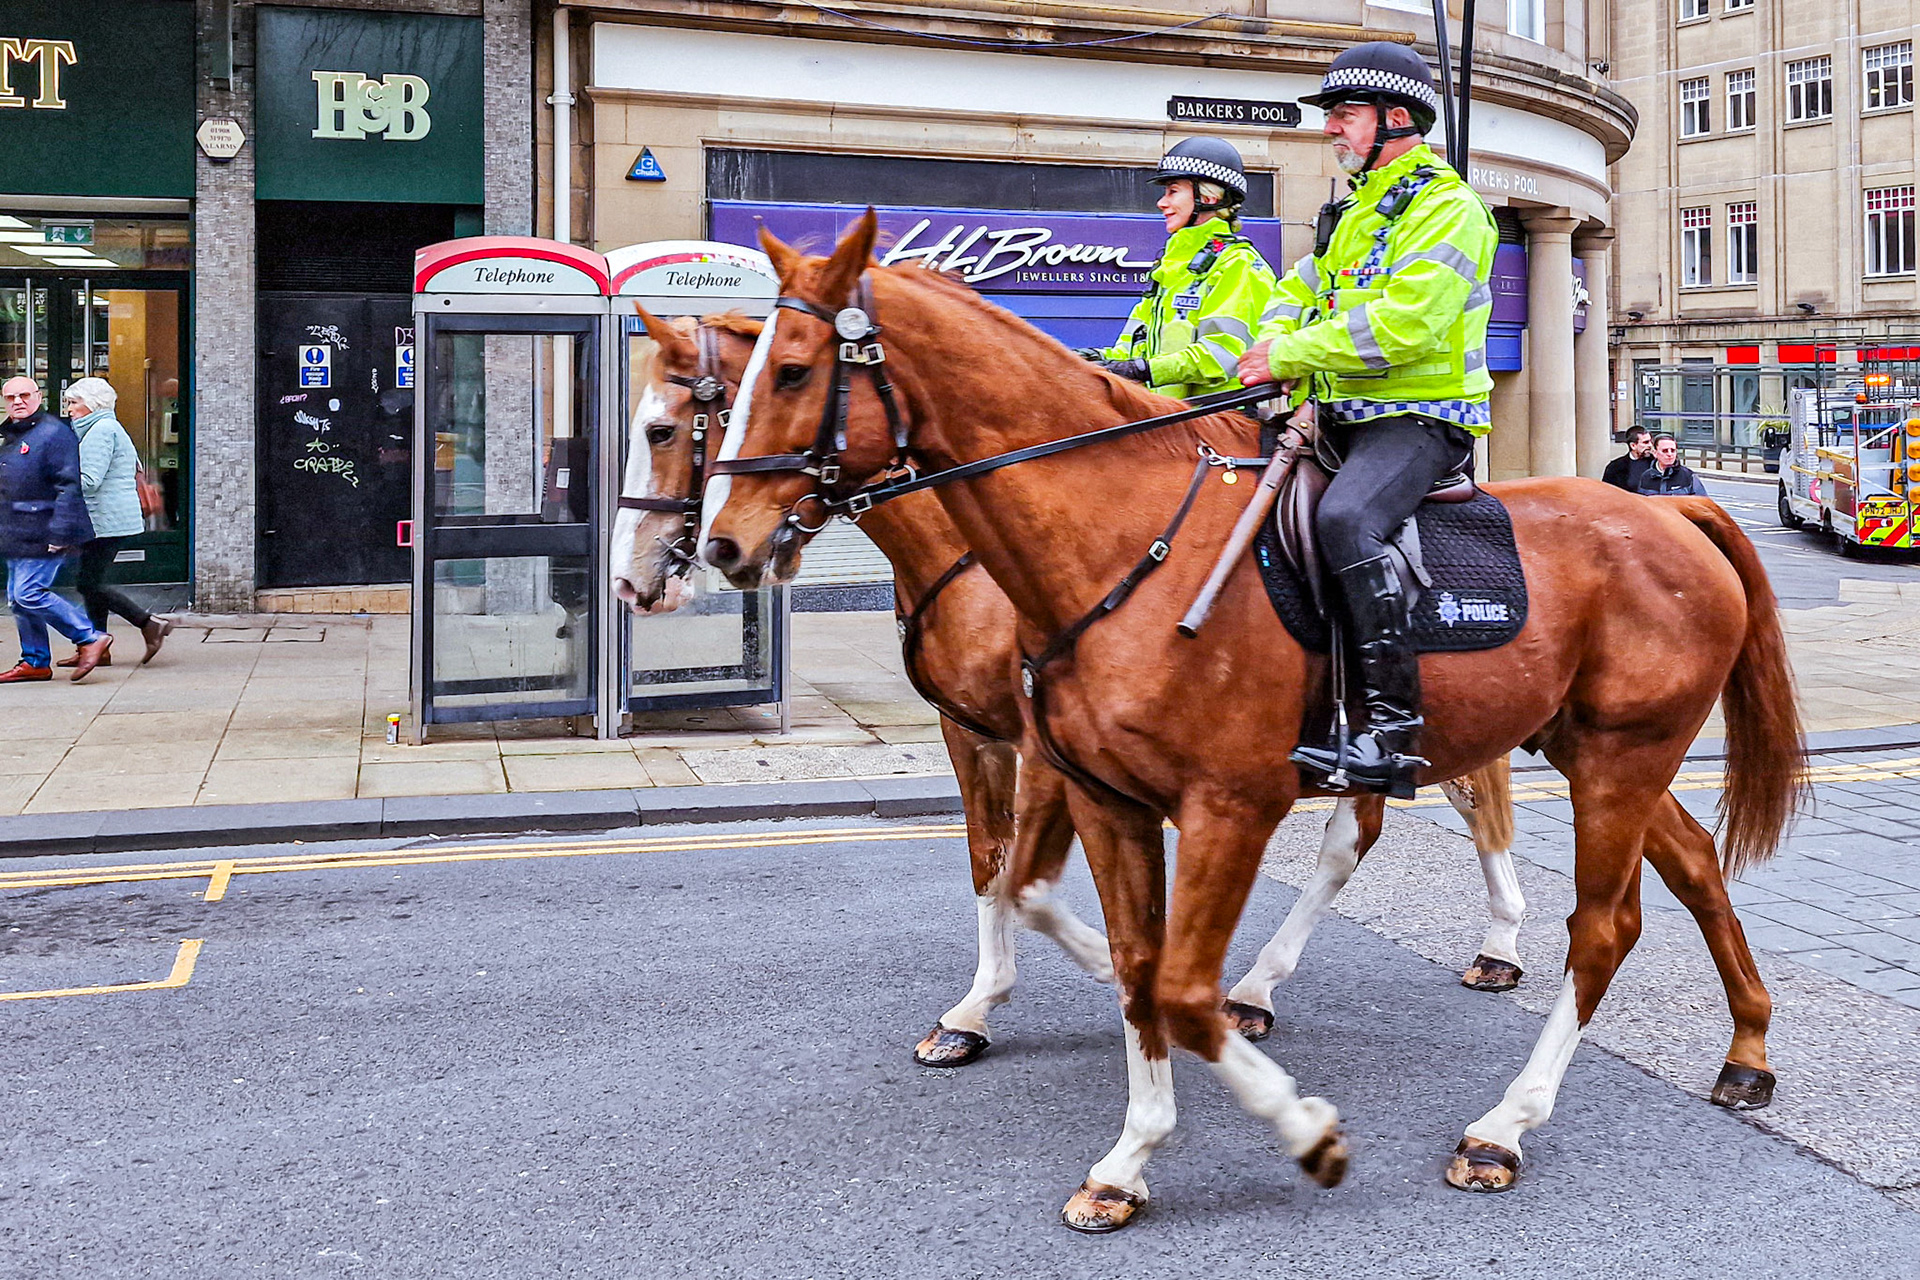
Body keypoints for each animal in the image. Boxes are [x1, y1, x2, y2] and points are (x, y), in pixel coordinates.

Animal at [609, 309, 1536, 1067]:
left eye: (662, 428)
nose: (631, 580)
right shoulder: (974, 733)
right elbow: (991, 865)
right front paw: (977, 1014)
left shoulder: (1046, 746)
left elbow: (1031, 873)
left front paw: (1062, 982)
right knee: (1380, 824)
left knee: (1435, 810)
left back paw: (1484, 947)